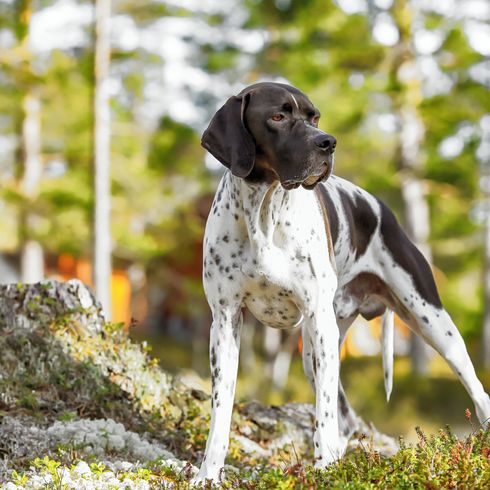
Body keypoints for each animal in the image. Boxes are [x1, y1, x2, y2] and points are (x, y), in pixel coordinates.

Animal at [194, 82, 490, 480]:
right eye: (277, 116)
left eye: (314, 117)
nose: (328, 143)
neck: (264, 213)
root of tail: (382, 207)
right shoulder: (225, 322)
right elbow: (221, 409)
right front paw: (208, 473)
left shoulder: (319, 322)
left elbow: (323, 412)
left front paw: (322, 469)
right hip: (314, 349)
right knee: (346, 419)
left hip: (432, 325)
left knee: (477, 391)